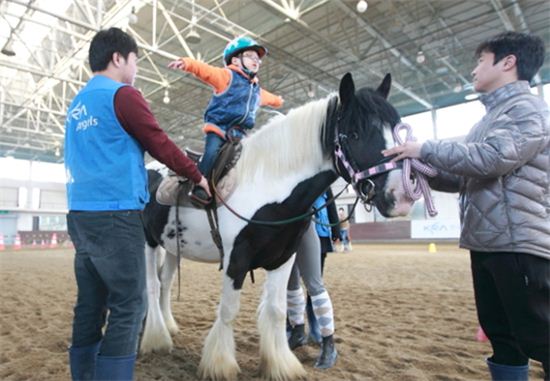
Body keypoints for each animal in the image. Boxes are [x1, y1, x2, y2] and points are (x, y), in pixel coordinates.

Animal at [141, 72, 414, 380]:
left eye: (396, 131)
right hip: (148, 241)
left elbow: (276, 309)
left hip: (172, 246)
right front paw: (220, 364)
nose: (401, 196)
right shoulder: (236, 259)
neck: (266, 184)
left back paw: (168, 327)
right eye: (355, 134)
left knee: (165, 283)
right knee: (152, 285)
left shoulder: (283, 259)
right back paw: (156, 339)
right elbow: (228, 311)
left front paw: (280, 364)